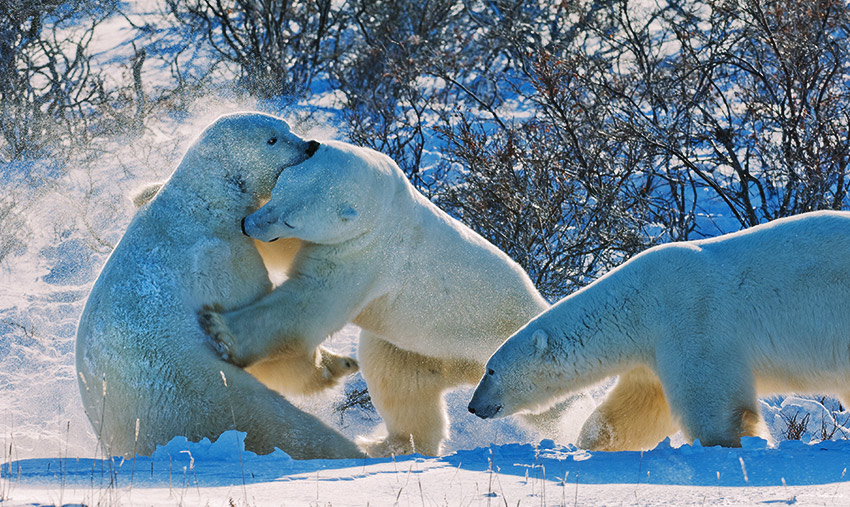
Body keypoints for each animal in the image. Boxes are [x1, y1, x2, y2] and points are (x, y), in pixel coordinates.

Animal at [75, 112, 364, 459]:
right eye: (272, 139)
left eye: (286, 126)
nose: (310, 145)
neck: (205, 199)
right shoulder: (217, 251)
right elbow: (253, 307)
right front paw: (333, 365)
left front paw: (341, 361)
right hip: (188, 389)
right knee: (269, 422)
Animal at [199, 139, 561, 457]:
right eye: (277, 190)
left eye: (291, 219)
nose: (247, 224)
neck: (384, 204)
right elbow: (284, 254)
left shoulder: (366, 252)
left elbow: (308, 303)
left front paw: (220, 330)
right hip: (422, 348)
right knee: (399, 383)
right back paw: (390, 444)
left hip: (499, 351)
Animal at [468, 210, 850, 450]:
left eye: (491, 369)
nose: (473, 406)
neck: (639, 304)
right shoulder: (650, 351)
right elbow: (635, 409)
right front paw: (591, 444)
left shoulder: (692, 320)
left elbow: (712, 403)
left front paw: (731, 445)